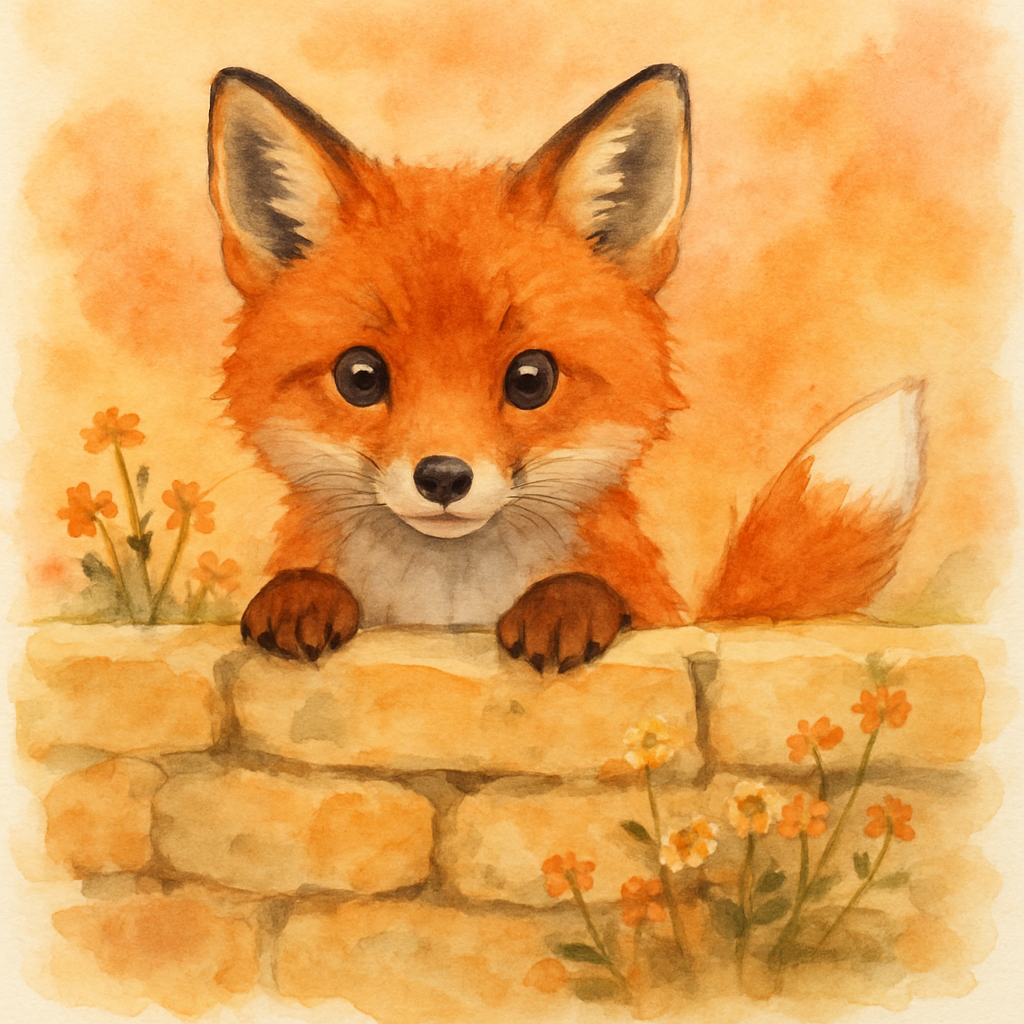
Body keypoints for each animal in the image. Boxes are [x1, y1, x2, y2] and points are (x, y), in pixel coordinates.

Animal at [208, 64, 925, 670]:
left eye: (531, 380)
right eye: (361, 377)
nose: (443, 478)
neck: (447, 609)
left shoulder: (656, 610)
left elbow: (596, 587)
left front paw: (565, 606)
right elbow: (307, 577)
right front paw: (301, 594)